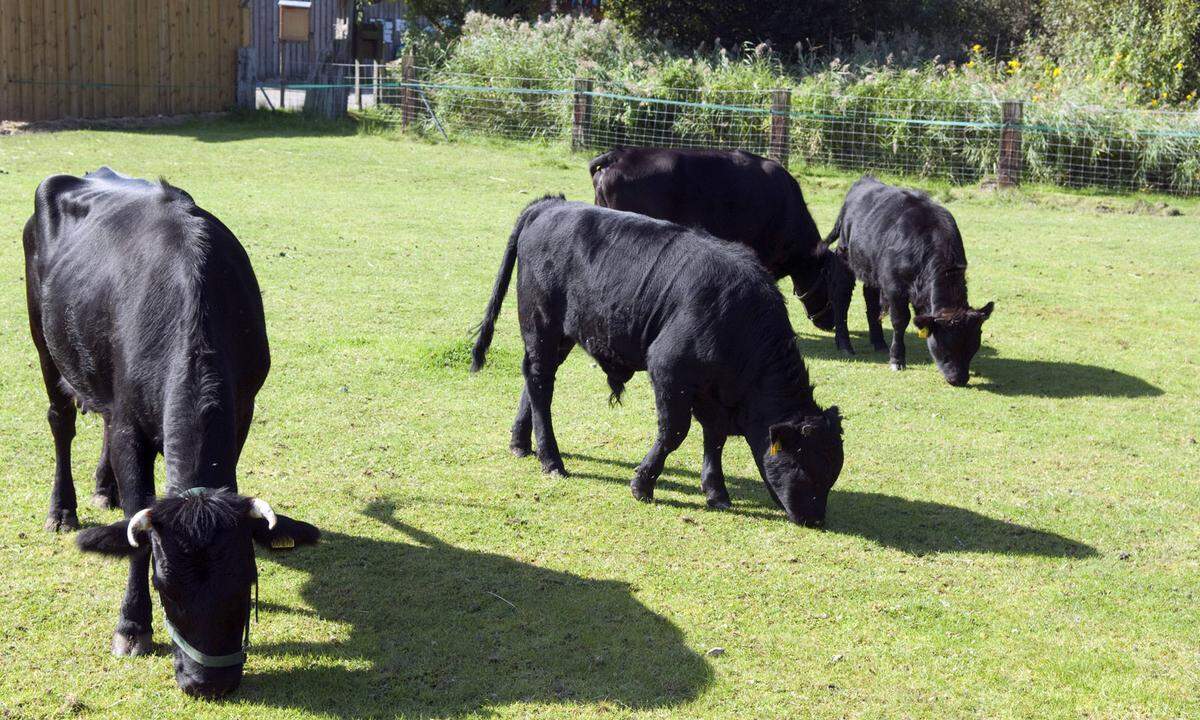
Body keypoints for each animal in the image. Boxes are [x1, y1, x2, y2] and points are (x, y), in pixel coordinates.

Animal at [25, 169, 321, 696]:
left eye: (248, 581)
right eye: (164, 587)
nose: (209, 683)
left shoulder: (242, 409)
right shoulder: (130, 427)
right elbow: (134, 527)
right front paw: (131, 626)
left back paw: (102, 488)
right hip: (44, 340)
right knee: (61, 421)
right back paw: (62, 509)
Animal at [468, 194, 844, 525]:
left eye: (832, 474)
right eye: (804, 467)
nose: (815, 519)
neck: (740, 320)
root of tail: (550, 204)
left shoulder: (711, 393)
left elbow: (715, 437)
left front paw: (716, 491)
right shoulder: (669, 371)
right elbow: (674, 432)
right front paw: (643, 484)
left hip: (558, 335)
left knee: (534, 382)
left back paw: (521, 443)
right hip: (541, 322)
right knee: (541, 384)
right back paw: (551, 460)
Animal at [825, 176, 993, 386]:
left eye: (973, 346)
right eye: (944, 345)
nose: (959, 379)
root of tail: (864, 180)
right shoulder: (894, 288)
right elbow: (900, 321)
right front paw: (897, 359)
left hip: (871, 270)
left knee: (871, 301)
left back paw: (879, 342)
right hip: (845, 257)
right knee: (841, 298)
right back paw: (845, 344)